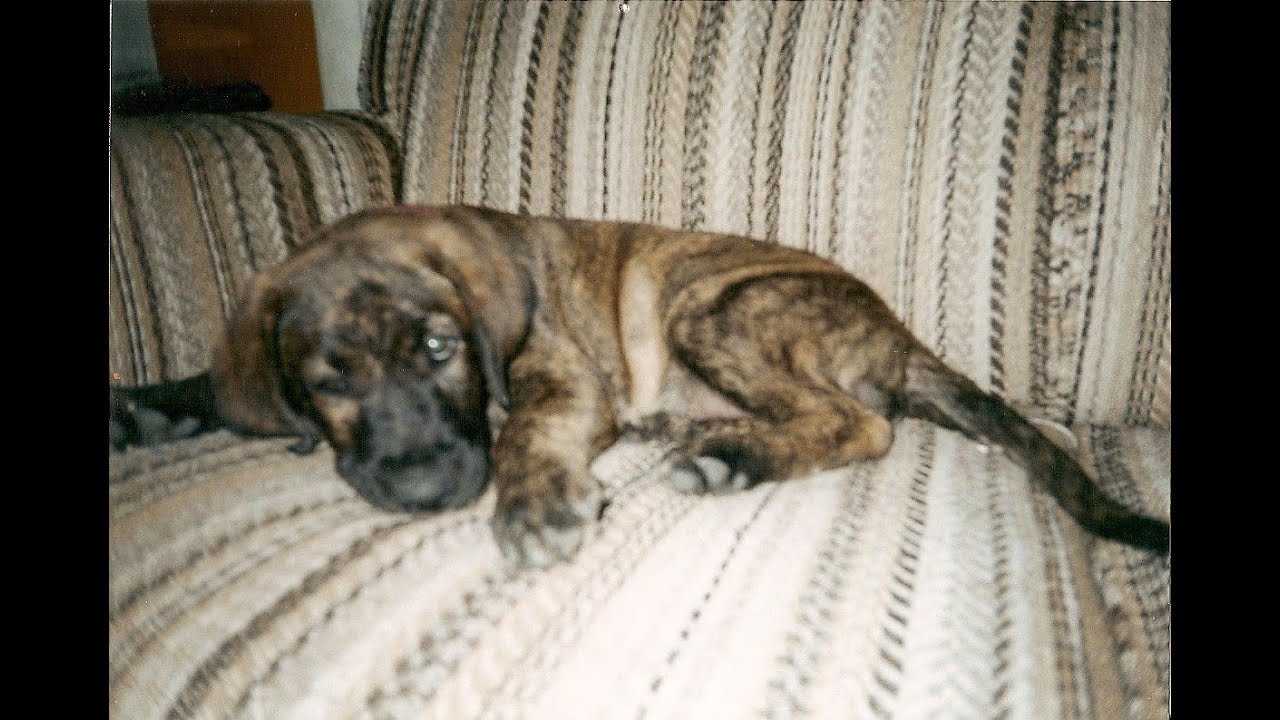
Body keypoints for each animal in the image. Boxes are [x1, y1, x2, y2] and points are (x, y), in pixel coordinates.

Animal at [110, 204, 1172, 563]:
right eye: (328, 380)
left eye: (443, 350)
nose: (423, 492)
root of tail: (901, 333)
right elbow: (213, 386)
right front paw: (144, 408)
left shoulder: (558, 375)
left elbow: (526, 428)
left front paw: (536, 501)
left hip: (712, 303)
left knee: (860, 426)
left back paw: (731, 454)